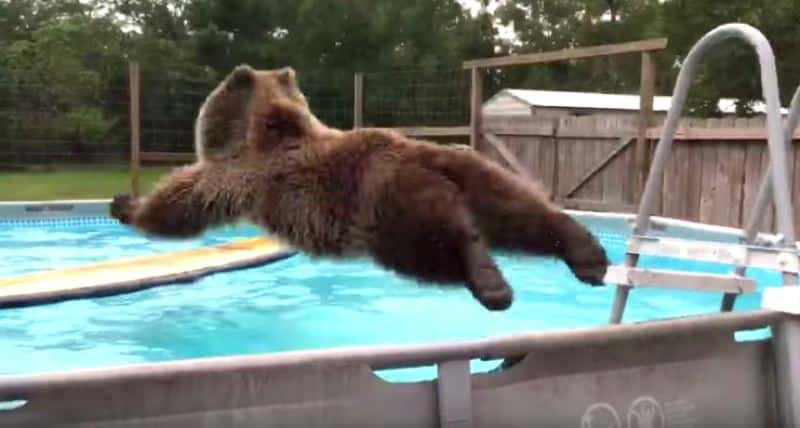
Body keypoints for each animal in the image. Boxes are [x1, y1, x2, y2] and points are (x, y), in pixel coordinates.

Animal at [109, 64, 608, 310]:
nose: (118, 200)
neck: (268, 131)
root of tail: (430, 162)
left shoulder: (237, 175)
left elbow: (180, 204)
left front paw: (127, 204)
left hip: (384, 210)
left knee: (438, 242)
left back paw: (490, 283)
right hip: (476, 172)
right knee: (519, 212)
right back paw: (587, 253)